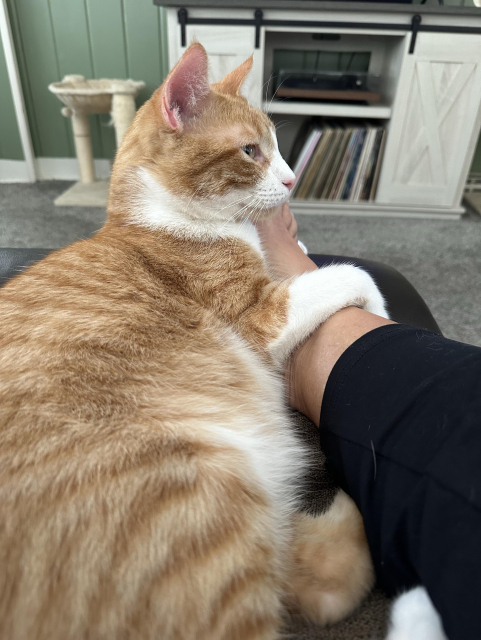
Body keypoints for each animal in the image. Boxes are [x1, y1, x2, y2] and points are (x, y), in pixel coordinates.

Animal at [0, 41, 442, 640]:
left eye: (277, 147)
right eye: (251, 151)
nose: (291, 182)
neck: (159, 219)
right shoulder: (259, 315)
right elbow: (352, 277)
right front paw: (376, 307)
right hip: (194, 499)